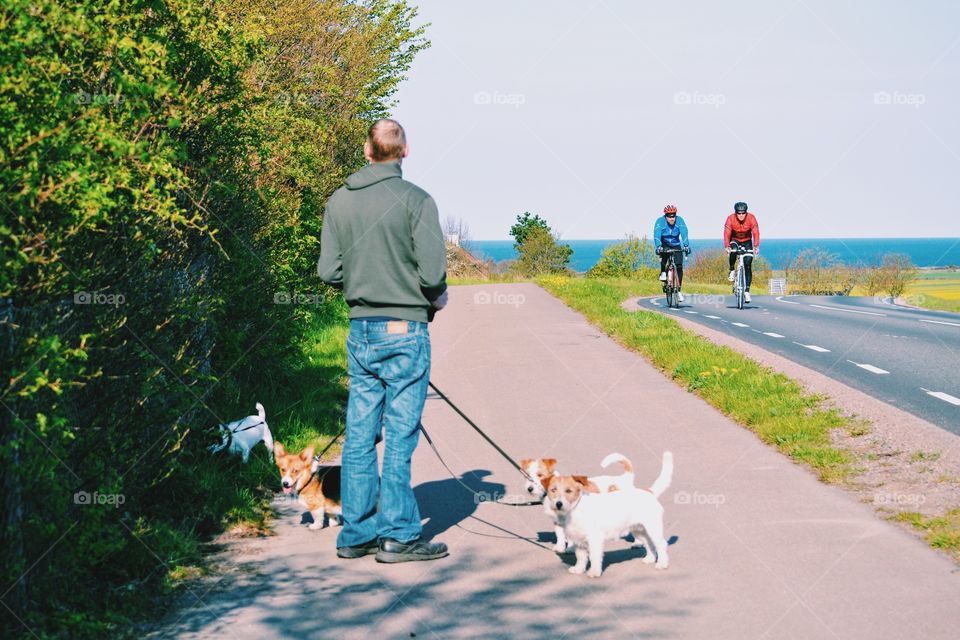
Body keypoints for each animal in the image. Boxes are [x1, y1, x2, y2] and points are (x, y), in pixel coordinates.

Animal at [548, 450, 676, 580]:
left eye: (568, 491)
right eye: (553, 490)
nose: (558, 504)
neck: (576, 508)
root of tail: (649, 492)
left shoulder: (595, 540)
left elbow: (594, 557)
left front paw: (594, 572)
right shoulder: (579, 542)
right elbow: (580, 557)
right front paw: (578, 569)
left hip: (653, 529)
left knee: (661, 544)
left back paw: (662, 564)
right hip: (638, 530)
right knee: (649, 543)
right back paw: (650, 559)